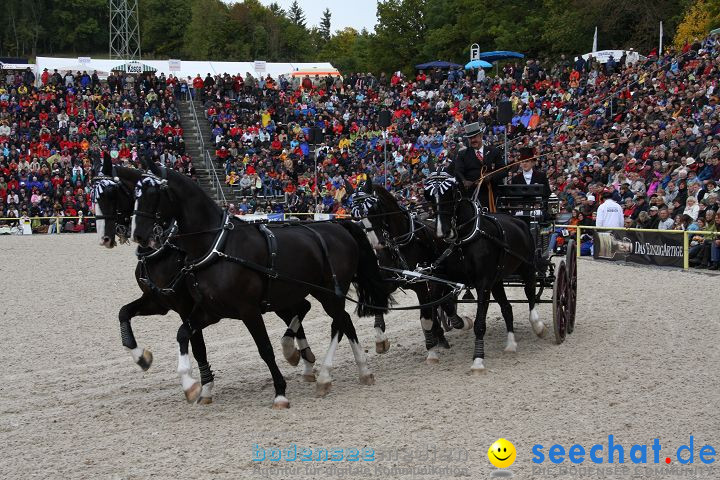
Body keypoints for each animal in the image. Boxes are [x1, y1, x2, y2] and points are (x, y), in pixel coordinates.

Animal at [94, 156, 320, 404]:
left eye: (111, 194)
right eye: (92, 194)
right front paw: (141, 357)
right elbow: (124, 313)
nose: (105, 238)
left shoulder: (187, 306)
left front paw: (202, 385)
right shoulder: (158, 301)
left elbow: (197, 346)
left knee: (301, 309)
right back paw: (303, 358)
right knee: (300, 309)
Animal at [129, 160, 388, 404]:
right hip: (317, 291)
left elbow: (265, 349)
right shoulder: (209, 311)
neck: (217, 246)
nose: (138, 234)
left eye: (153, 193)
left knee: (339, 323)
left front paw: (280, 392)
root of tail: (339, 226)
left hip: (330, 292)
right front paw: (190, 384)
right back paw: (357, 371)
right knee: (343, 322)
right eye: (135, 193)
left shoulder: (248, 310)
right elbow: (183, 333)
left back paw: (330, 374)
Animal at [422, 171, 544, 374]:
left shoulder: (483, 283)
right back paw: (511, 344)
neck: (464, 240)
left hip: (526, 268)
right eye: (428, 196)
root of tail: (519, 220)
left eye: (451, 194)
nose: (442, 231)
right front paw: (434, 350)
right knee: (507, 308)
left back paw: (537, 324)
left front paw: (478, 360)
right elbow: (438, 306)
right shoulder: (443, 278)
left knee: (530, 293)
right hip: (498, 280)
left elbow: (480, 324)